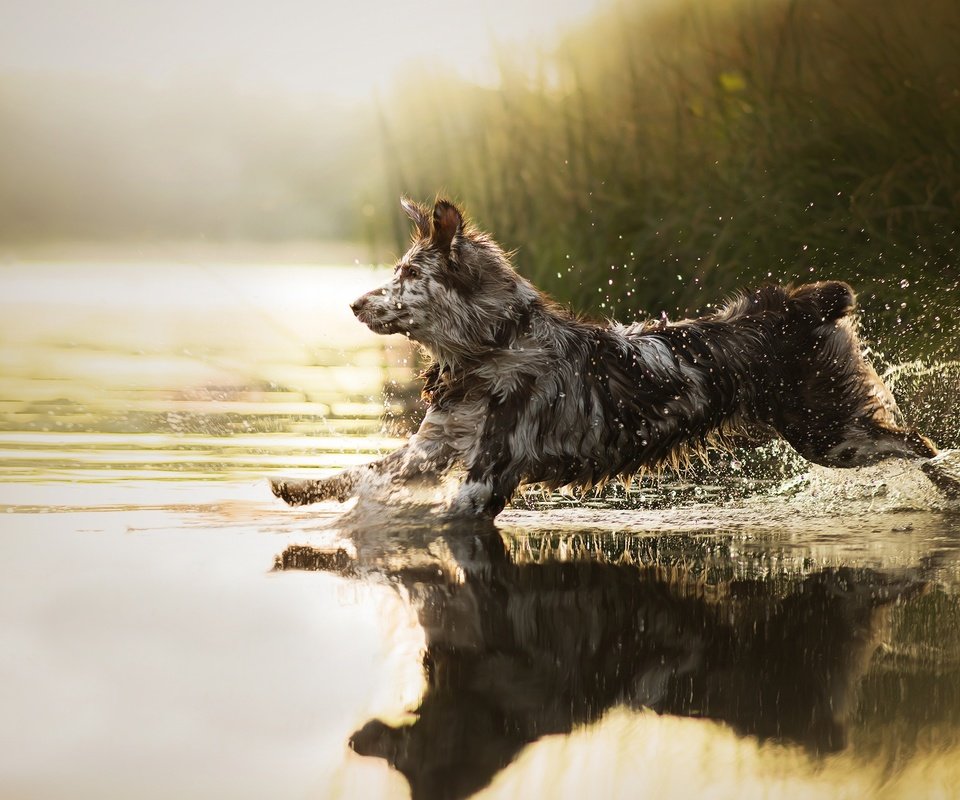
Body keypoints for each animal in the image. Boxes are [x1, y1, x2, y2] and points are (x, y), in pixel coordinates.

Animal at [268, 197, 936, 516]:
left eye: (407, 274)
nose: (354, 303)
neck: (494, 349)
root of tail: (794, 305)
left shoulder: (486, 475)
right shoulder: (429, 450)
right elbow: (359, 472)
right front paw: (294, 487)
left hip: (831, 433)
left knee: (920, 444)